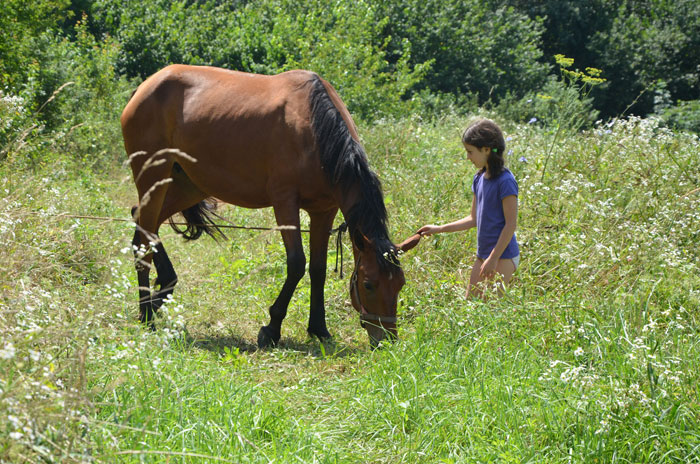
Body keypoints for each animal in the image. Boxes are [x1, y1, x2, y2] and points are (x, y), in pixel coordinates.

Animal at [119, 65, 422, 348]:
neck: (315, 128)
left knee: (143, 222)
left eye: (400, 283)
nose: (386, 339)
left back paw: (162, 291)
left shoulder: (324, 211)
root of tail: (146, 86)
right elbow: (297, 264)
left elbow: (318, 269)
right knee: (144, 235)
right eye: (368, 284)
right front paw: (272, 328)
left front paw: (319, 328)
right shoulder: (284, 203)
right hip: (154, 176)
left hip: (188, 185)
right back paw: (147, 314)